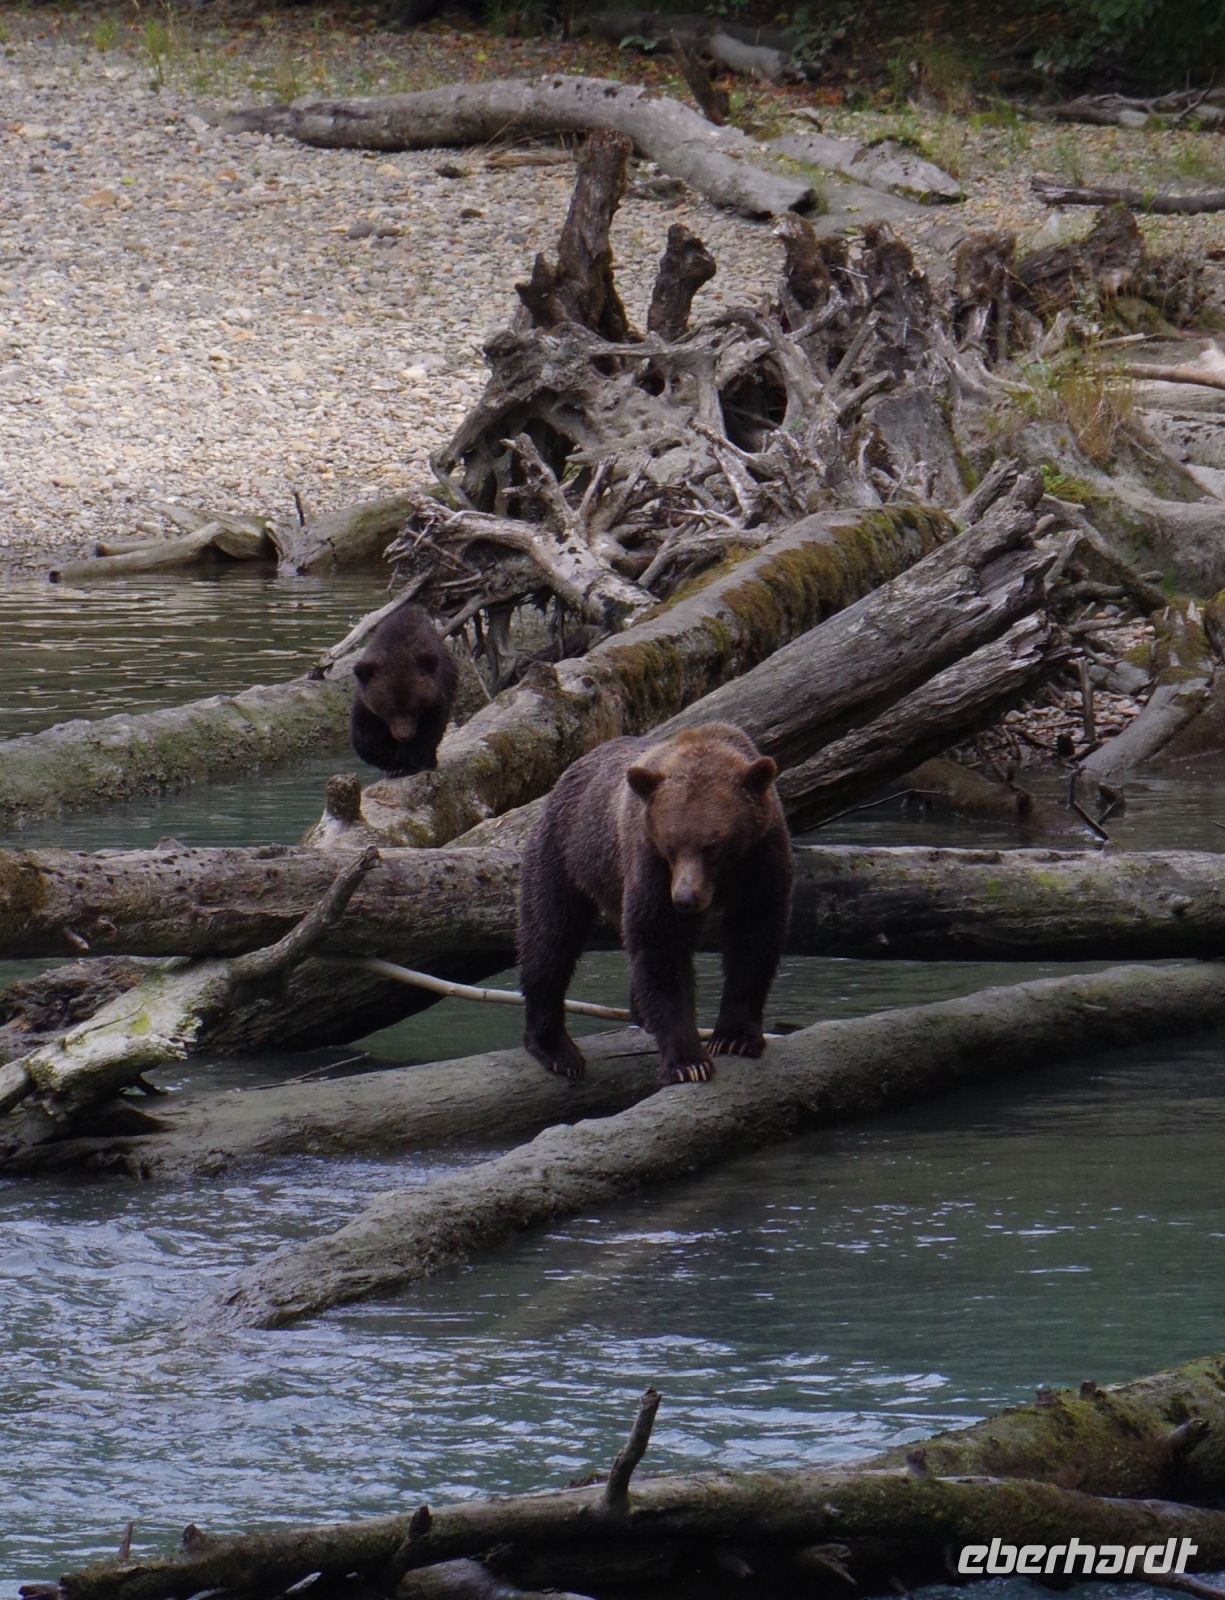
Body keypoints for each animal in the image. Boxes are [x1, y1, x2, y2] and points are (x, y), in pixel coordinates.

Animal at [350, 604, 459, 776]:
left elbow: (427, 732)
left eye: (414, 706)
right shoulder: (366, 705)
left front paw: (404, 764)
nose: (403, 735)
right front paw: (386, 759)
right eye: (389, 709)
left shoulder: (435, 699)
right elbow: (365, 737)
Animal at [517, 722, 793, 1086]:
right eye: (671, 844)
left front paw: (735, 1037)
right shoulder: (651, 865)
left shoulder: (762, 854)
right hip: (564, 852)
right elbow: (661, 944)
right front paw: (689, 1062)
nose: (686, 899)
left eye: (713, 845)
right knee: (550, 938)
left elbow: (754, 935)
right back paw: (556, 1049)